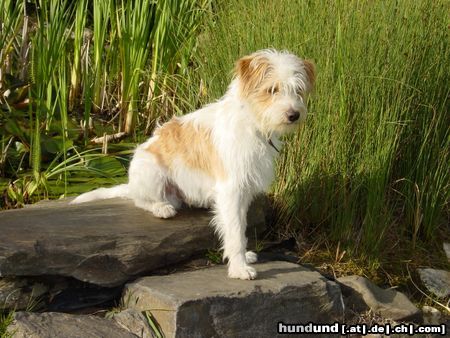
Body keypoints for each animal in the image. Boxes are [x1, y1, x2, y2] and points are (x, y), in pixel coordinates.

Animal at [72, 49, 314, 280]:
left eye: (298, 90)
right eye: (272, 90)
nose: (294, 114)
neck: (251, 122)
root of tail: (131, 182)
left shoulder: (242, 192)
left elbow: (239, 228)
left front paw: (244, 257)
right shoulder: (231, 190)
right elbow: (235, 232)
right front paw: (239, 269)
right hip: (151, 174)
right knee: (140, 200)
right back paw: (161, 208)